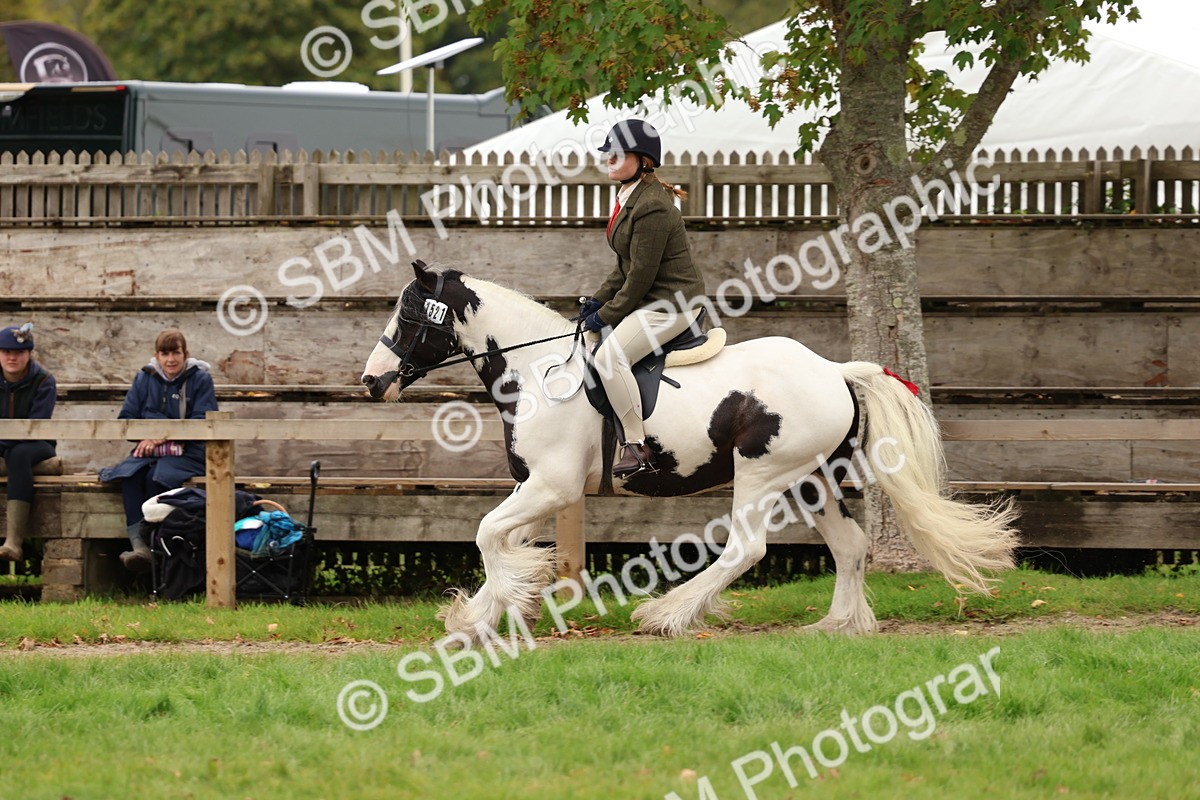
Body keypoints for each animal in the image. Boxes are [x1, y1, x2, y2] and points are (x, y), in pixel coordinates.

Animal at [361, 261, 1018, 641]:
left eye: (410, 314)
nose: (371, 382)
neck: (538, 371)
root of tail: (833, 369)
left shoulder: (553, 486)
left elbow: (485, 535)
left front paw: (485, 614)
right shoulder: (535, 487)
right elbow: (501, 540)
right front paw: (484, 614)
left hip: (762, 473)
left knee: (747, 548)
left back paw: (668, 615)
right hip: (811, 481)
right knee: (850, 546)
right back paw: (836, 624)